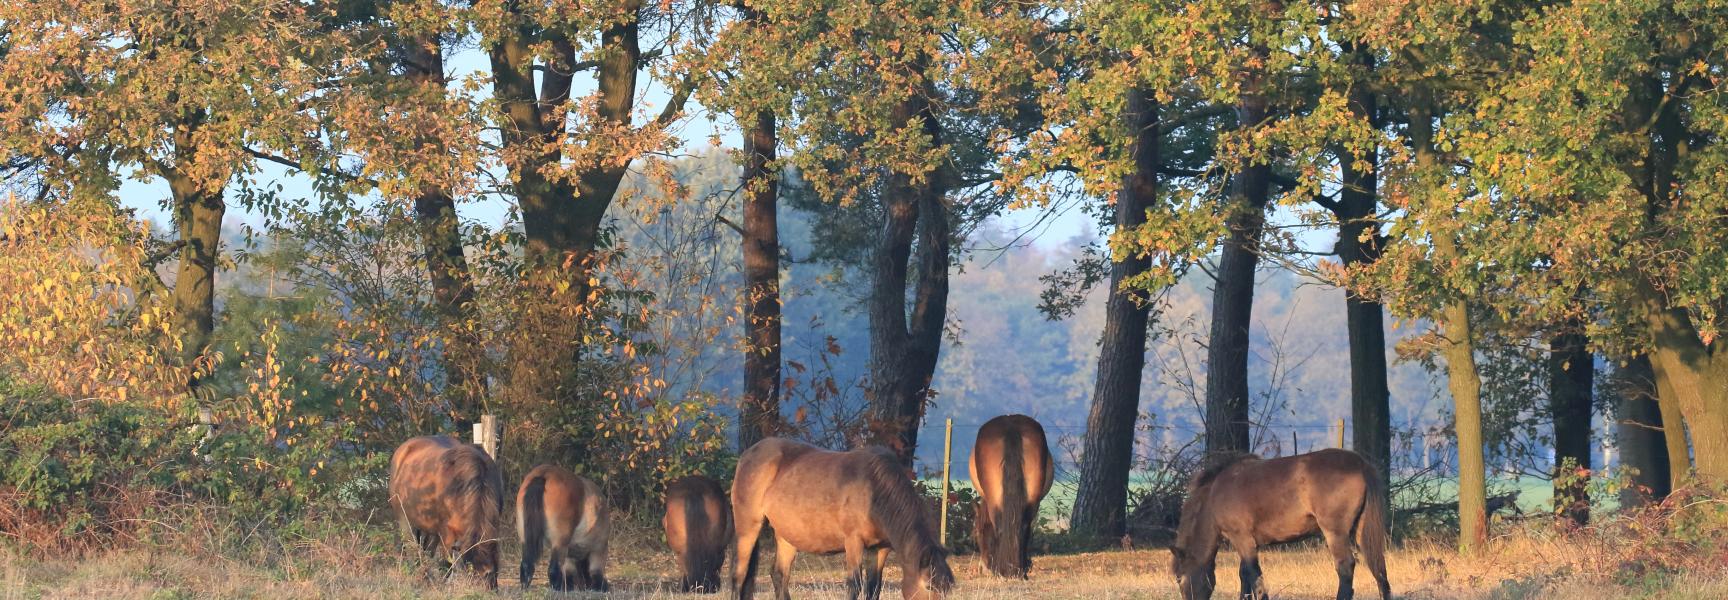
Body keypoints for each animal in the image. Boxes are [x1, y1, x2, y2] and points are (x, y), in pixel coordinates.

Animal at [388, 435, 505, 590]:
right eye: (471, 568)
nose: (490, 588)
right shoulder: (446, 533)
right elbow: (446, 564)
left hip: (430, 530)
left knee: (426, 551)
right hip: (405, 521)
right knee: (412, 549)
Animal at [731, 437, 954, 600]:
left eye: (947, 589)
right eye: (929, 586)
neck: (874, 491)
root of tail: (747, 455)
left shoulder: (881, 548)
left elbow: (874, 587)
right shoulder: (853, 542)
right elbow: (854, 585)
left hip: (787, 536)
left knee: (780, 576)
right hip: (748, 529)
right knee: (739, 576)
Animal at [969, 414, 1054, 578]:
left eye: (977, 534)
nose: (983, 567)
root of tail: (1011, 428)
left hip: (995, 502)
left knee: (1000, 527)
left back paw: (1003, 569)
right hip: (1032, 502)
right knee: (1024, 526)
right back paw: (1020, 568)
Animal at [1169, 449, 1391, 600]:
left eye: (1179, 578)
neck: (1216, 493)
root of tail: (1360, 464)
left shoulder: (1242, 539)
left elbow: (1254, 576)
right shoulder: (1247, 543)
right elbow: (1244, 576)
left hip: (1335, 533)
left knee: (1345, 567)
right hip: (1362, 531)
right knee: (1379, 568)